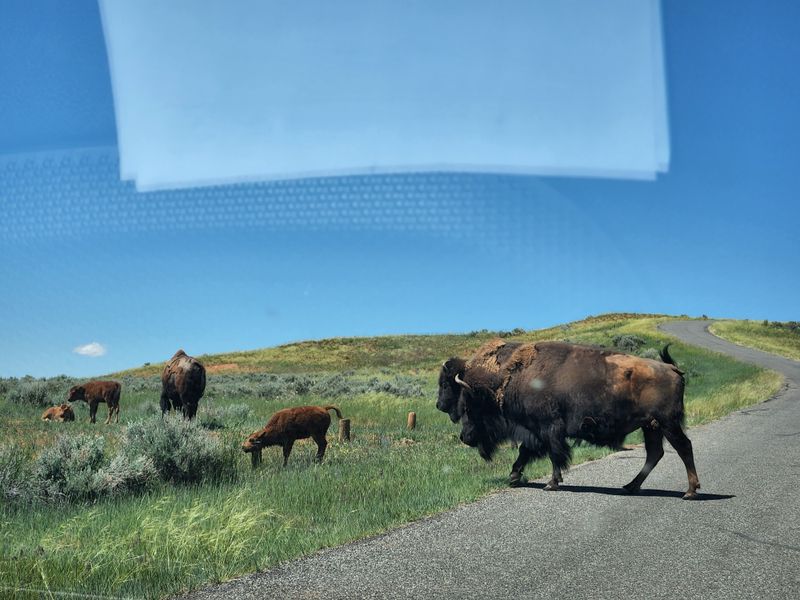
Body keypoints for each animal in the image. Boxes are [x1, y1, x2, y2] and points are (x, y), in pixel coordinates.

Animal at [447, 341, 700, 499]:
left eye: (469, 407)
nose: (464, 437)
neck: (513, 379)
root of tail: (671, 368)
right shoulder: (536, 432)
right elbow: (526, 452)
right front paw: (514, 476)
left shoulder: (548, 428)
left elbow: (554, 455)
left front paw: (551, 484)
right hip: (651, 427)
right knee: (655, 454)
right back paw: (630, 487)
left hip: (667, 423)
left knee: (684, 447)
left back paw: (690, 492)